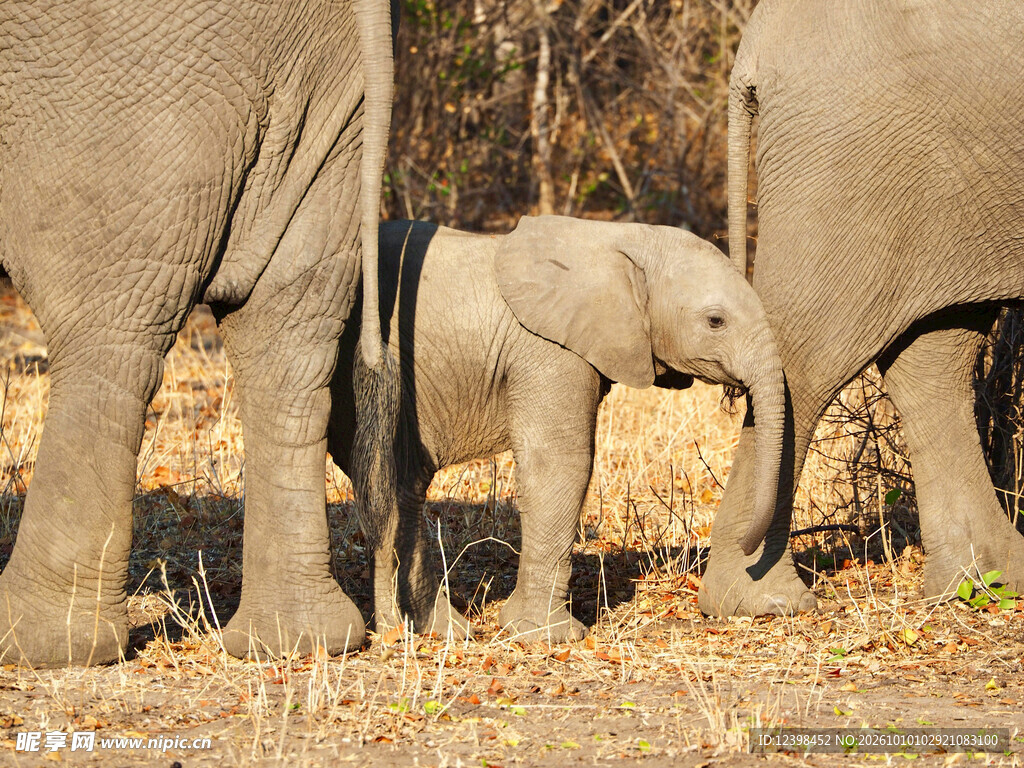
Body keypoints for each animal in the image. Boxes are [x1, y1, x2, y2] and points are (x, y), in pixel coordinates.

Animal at [328, 216, 785, 642]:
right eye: (715, 321)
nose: (747, 548)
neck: (619, 238)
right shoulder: (548, 348)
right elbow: (561, 463)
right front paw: (548, 636)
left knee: (398, 483)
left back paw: (429, 632)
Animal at [698, 0, 1024, 616]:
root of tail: (754, 46)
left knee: (937, 351)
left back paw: (987, 582)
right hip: (850, 159)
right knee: (804, 355)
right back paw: (762, 600)